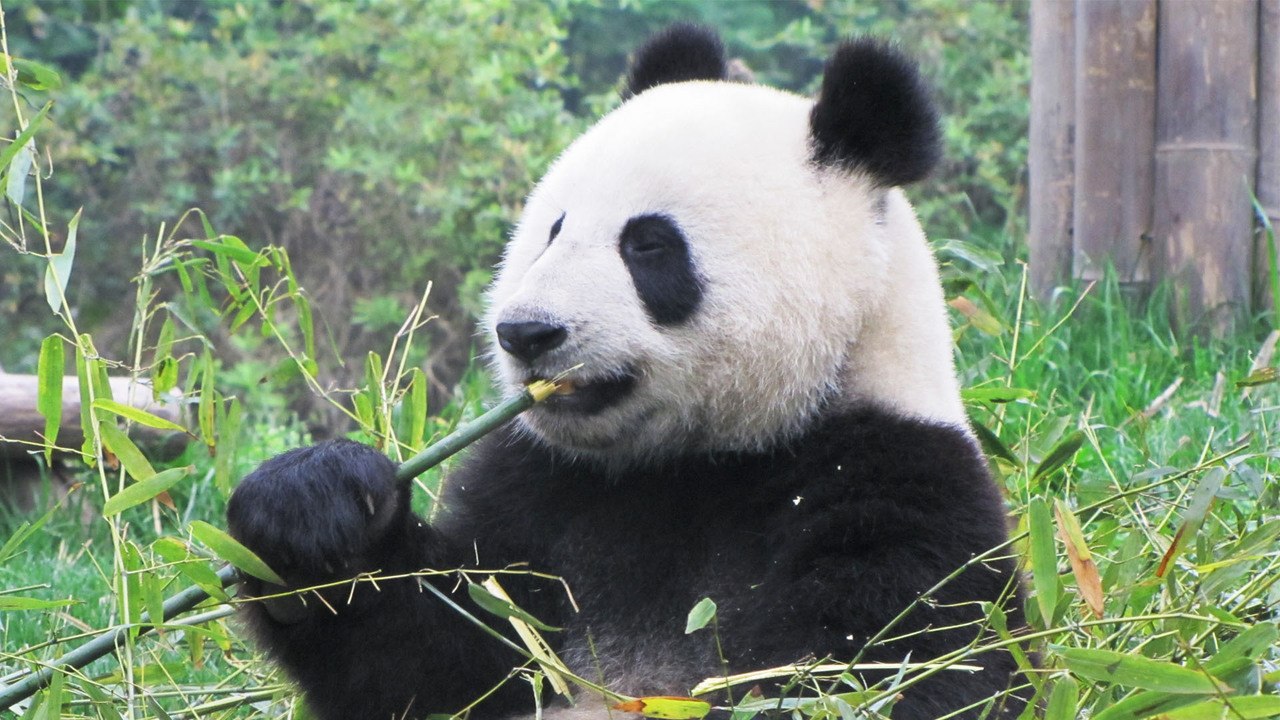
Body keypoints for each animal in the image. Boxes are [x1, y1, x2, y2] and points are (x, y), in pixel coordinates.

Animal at [226, 25, 1027, 720]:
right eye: (553, 229)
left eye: (647, 245)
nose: (525, 333)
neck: (691, 462)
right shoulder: (541, 487)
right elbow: (443, 661)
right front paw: (309, 506)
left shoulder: (895, 482)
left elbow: (905, 668)